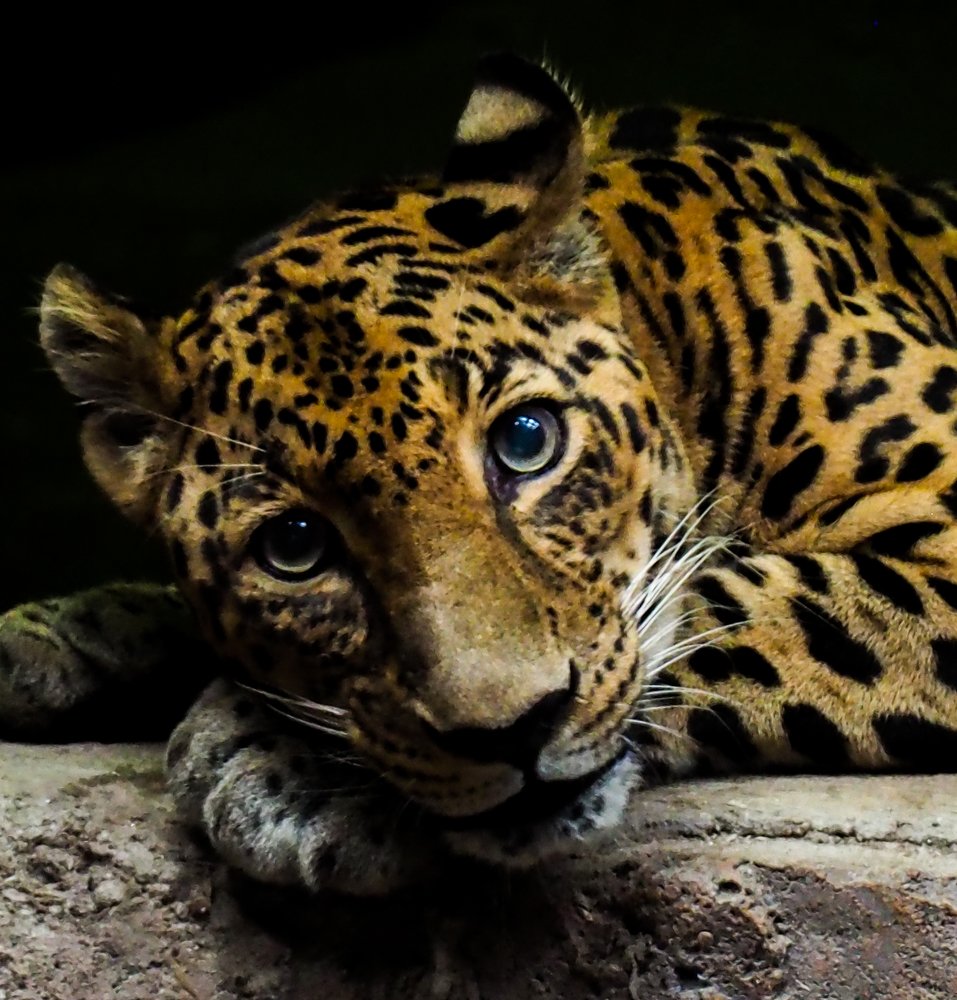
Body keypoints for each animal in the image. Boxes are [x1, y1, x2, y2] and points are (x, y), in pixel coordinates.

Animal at [5, 52, 957, 894]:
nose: (512, 733)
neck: (668, 319)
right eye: (294, 547)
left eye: (526, 442)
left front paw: (277, 765)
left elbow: (725, 602)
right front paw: (67, 635)